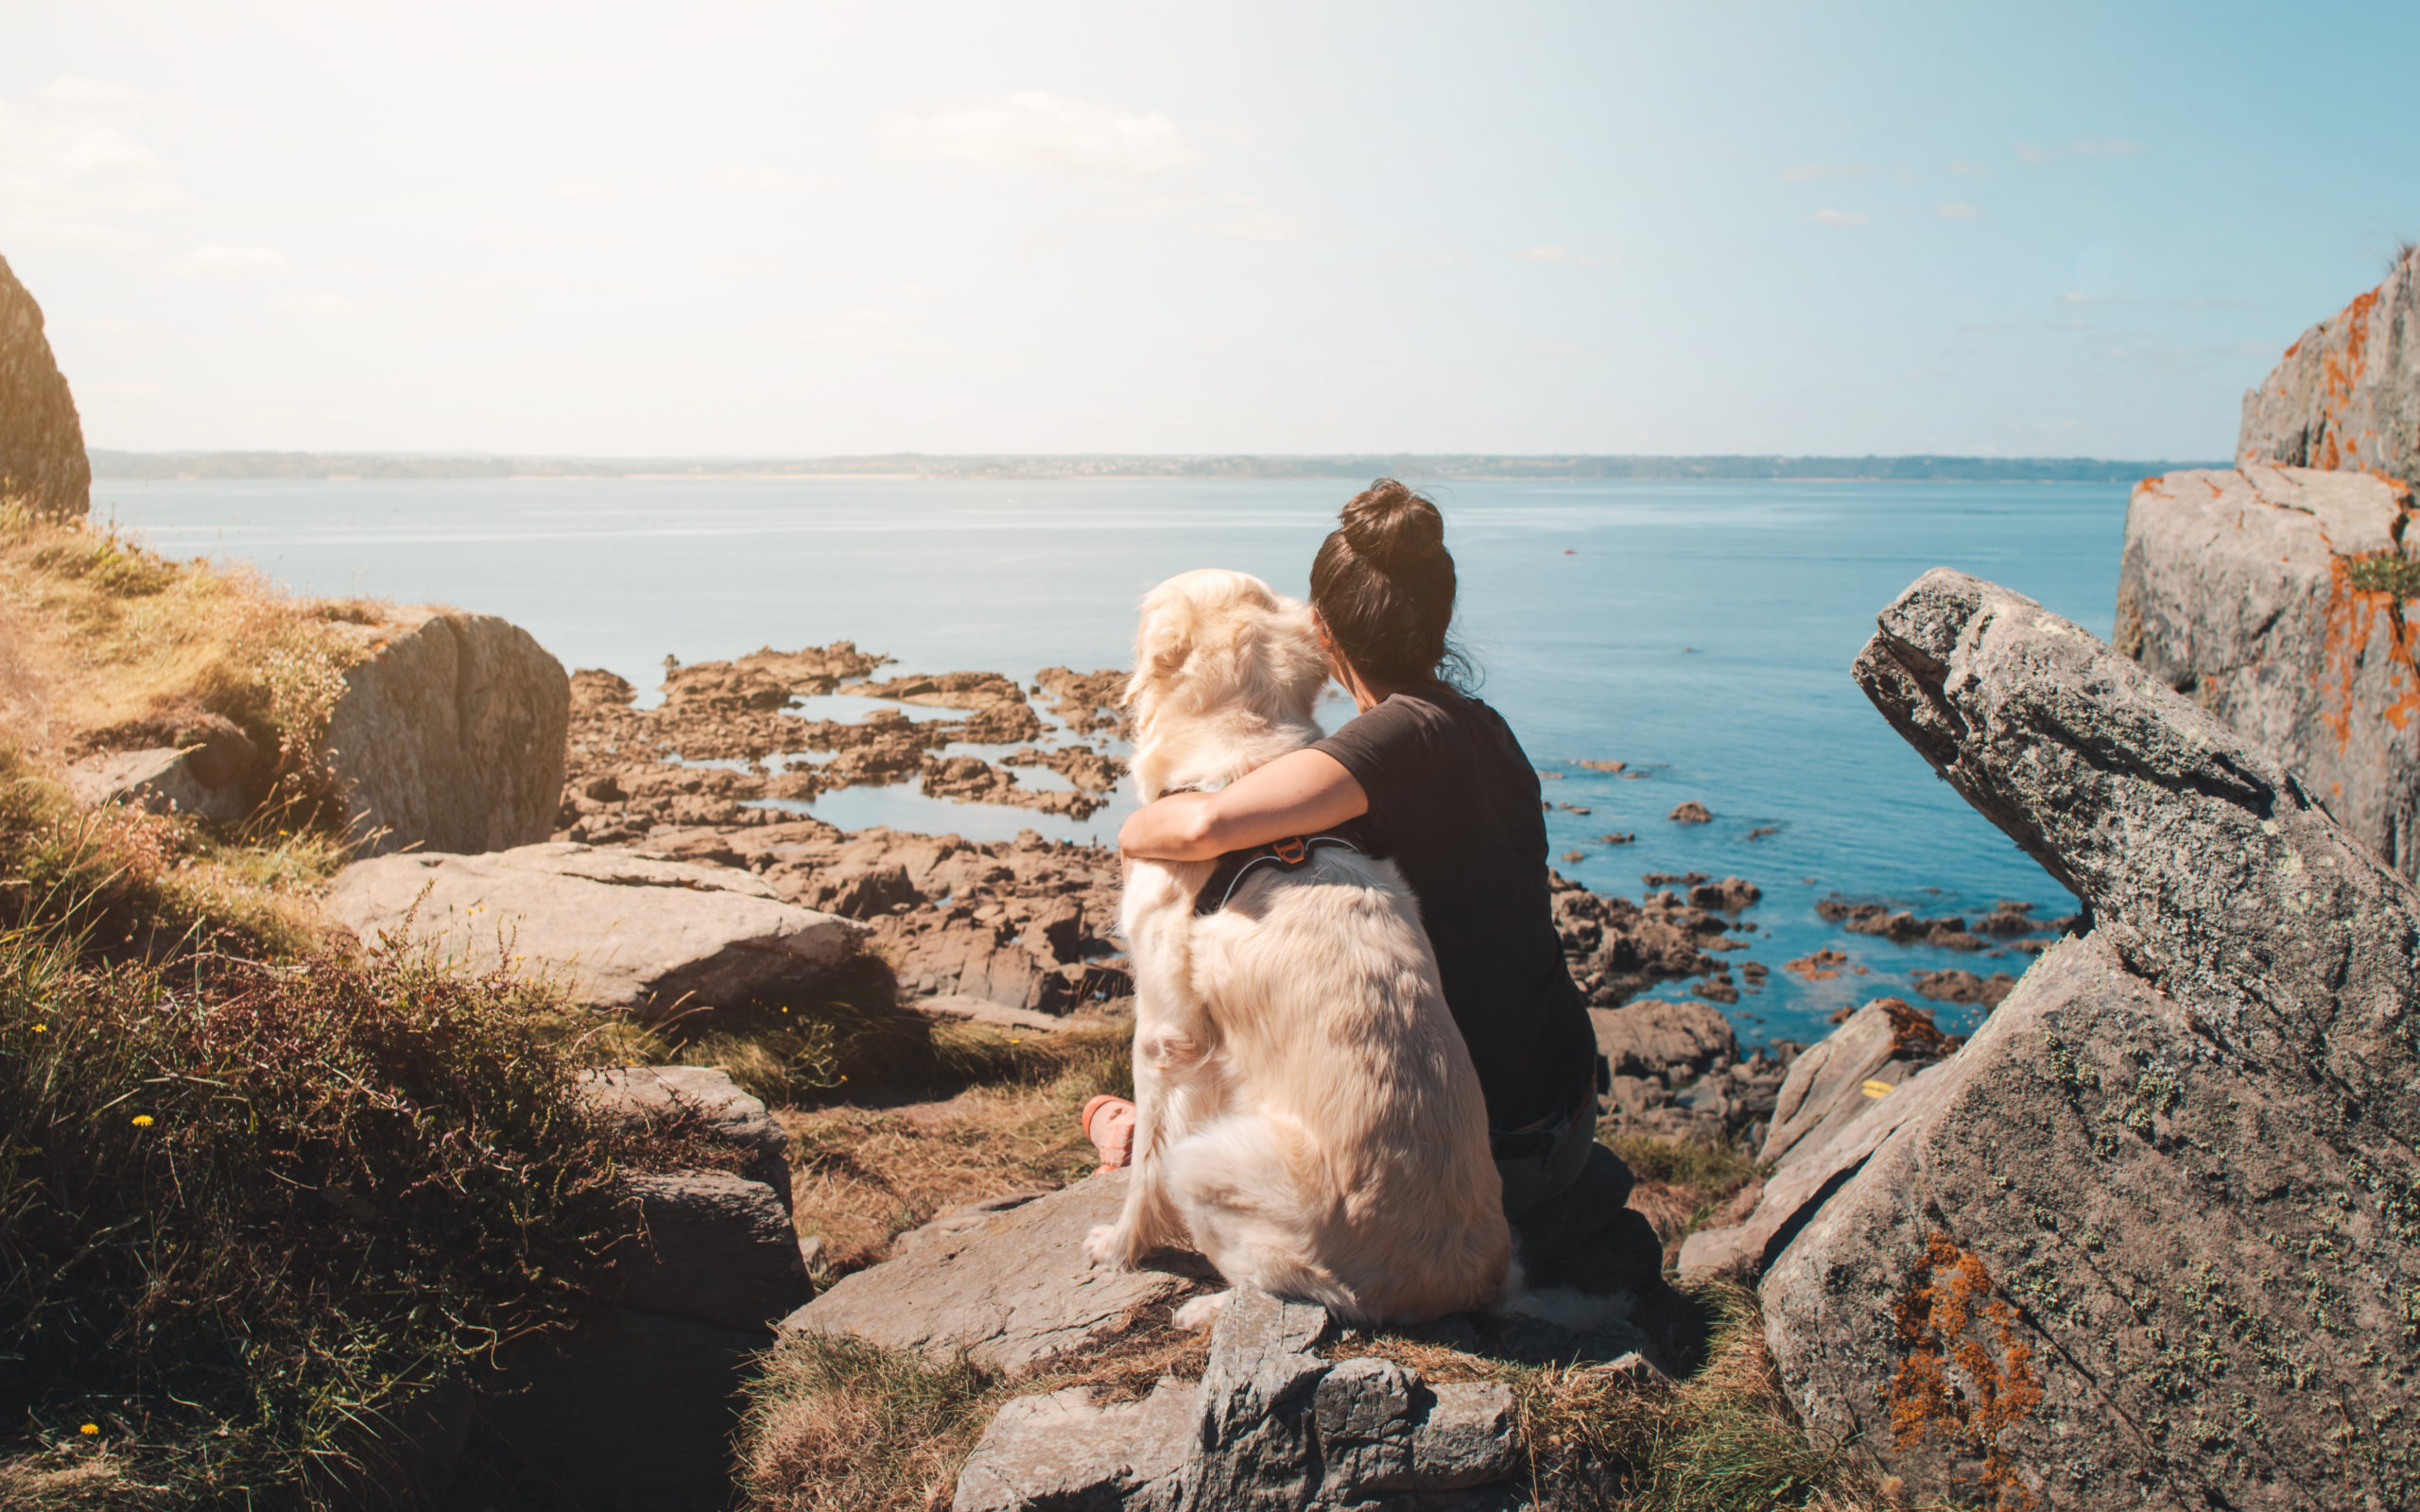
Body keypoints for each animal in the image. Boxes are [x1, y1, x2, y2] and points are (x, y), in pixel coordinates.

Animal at [1083, 563, 1510, 1315]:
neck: (1237, 763)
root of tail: (1454, 1283)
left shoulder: (1166, 1033)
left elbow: (1147, 1158)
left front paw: (1123, 1246)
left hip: (1212, 1166)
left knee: (1311, 1290)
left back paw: (1212, 1308)